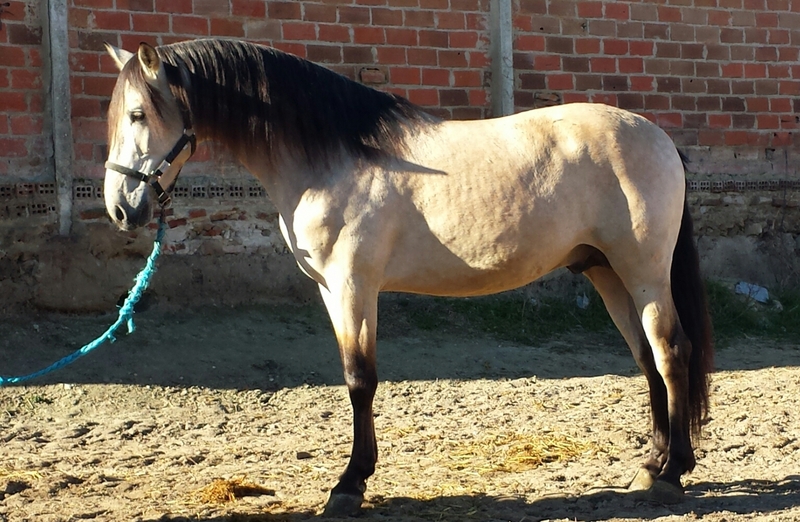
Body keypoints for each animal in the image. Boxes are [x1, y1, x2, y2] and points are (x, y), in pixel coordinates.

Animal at [102, 38, 713, 516]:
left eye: (137, 116)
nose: (121, 209)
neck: (331, 156)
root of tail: (658, 138)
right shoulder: (331, 291)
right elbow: (354, 376)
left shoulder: (354, 286)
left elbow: (360, 379)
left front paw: (349, 485)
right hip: (608, 273)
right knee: (647, 359)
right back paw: (651, 463)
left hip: (644, 272)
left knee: (671, 352)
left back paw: (670, 474)